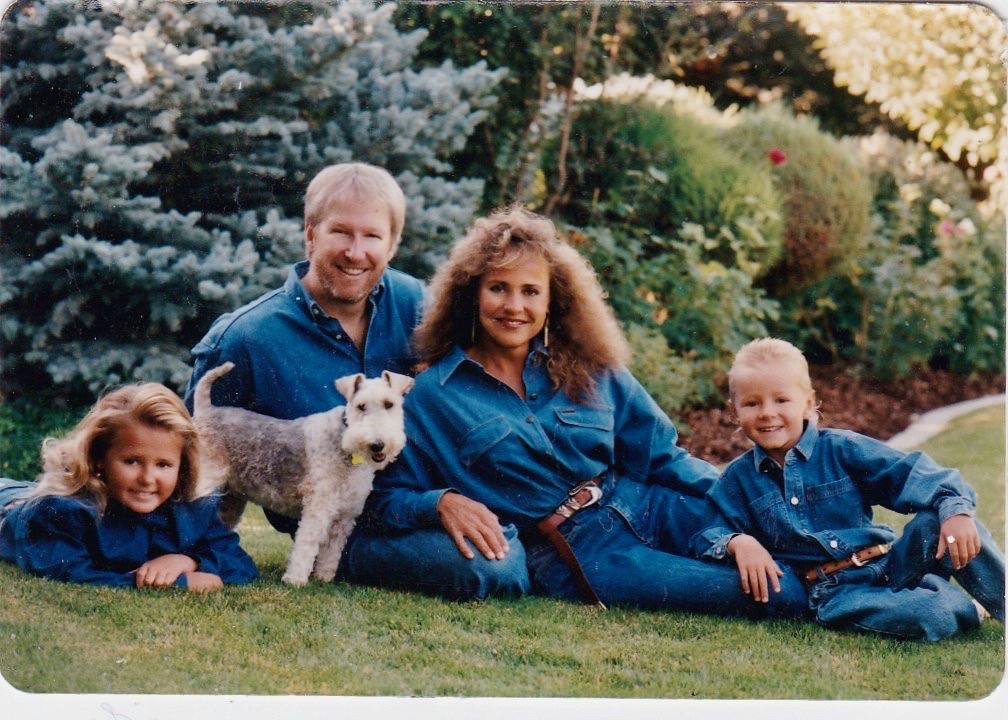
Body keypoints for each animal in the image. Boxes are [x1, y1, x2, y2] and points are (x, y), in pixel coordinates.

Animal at [192, 361, 413, 584]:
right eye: (361, 406)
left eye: (389, 404)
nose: (377, 444)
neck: (344, 443)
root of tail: (205, 409)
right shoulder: (317, 509)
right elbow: (306, 545)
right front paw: (295, 579)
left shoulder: (345, 515)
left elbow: (331, 553)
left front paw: (324, 578)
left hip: (232, 499)